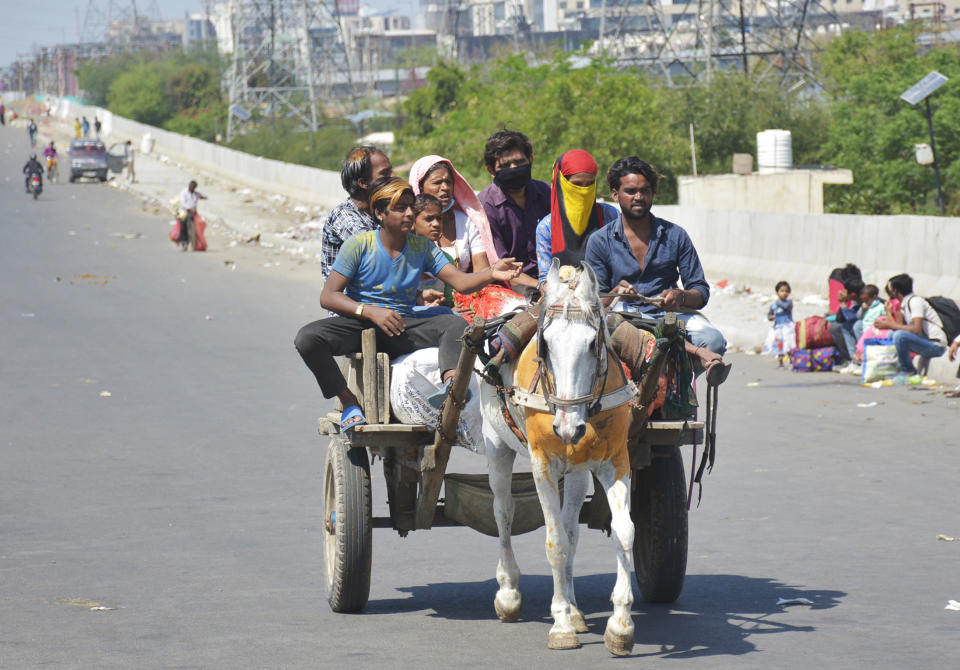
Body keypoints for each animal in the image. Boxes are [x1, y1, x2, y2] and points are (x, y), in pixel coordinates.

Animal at [480, 262, 636, 656]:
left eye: (594, 343)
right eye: (545, 344)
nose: (568, 428)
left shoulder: (615, 461)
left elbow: (623, 532)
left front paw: (620, 624)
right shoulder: (543, 465)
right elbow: (555, 544)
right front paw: (561, 624)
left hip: (578, 472)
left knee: (571, 529)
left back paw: (577, 609)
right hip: (496, 446)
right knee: (503, 512)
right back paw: (509, 592)